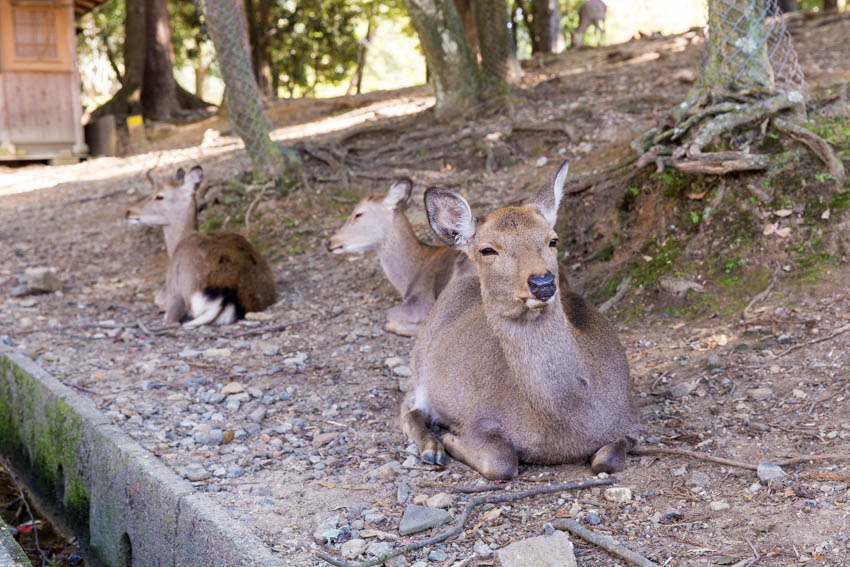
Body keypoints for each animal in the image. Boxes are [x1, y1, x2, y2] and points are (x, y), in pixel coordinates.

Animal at [400, 160, 636, 480]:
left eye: (552, 239)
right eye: (488, 249)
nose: (542, 282)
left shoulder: (630, 422)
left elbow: (608, 459)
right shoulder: (480, 417)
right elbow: (501, 461)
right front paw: (450, 438)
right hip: (419, 364)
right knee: (406, 408)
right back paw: (431, 448)